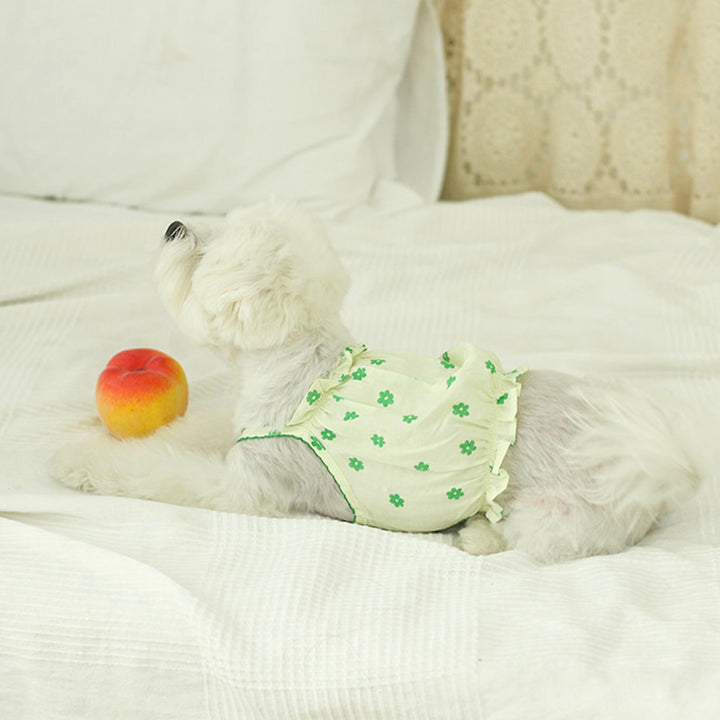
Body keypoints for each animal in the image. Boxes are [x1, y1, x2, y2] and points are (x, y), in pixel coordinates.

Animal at [52, 200, 702, 562]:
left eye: (203, 258)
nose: (172, 225)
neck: (301, 372)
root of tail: (654, 462)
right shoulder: (245, 431)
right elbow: (189, 429)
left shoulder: (250, 486)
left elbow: (158, 470)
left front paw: (80, 459)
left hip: (560, 516)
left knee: (538, 541)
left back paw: (480, 538)